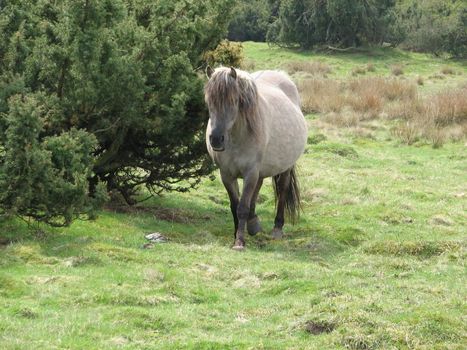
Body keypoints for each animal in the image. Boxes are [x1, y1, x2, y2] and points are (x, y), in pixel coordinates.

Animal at [204, 67, 308, 250]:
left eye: (233, 101)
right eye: (208, 101)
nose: (216, 139)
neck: (238, 137)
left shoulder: (250, 172)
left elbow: (242, 207)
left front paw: (239, 241)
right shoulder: (227, 174)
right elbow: (234, 205)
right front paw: (237, 234)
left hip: (285, 168)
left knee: (282, 189)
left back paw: (277, 228)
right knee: (257, 189)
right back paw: (253, 224)